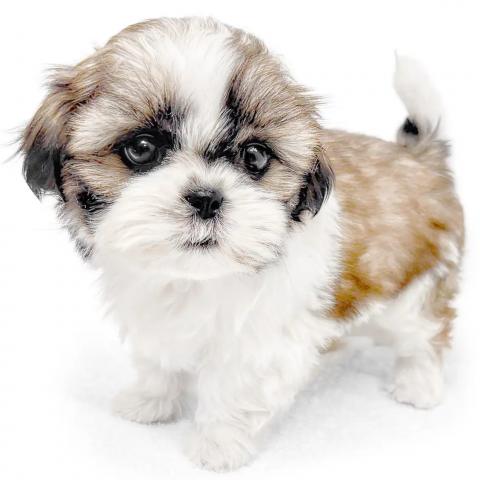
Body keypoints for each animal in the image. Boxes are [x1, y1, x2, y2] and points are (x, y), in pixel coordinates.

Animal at [20, 17, 464, 471]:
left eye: (255, 157)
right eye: (141, 148)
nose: (206, 197)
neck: (195, 278)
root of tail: (419, 157)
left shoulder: (260, 342)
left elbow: (233, 391)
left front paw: (217, 446)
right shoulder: (153, 313)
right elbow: (158, 358)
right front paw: (150, 401)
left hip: (419, 282)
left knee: (425, 332)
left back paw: (418, 383)